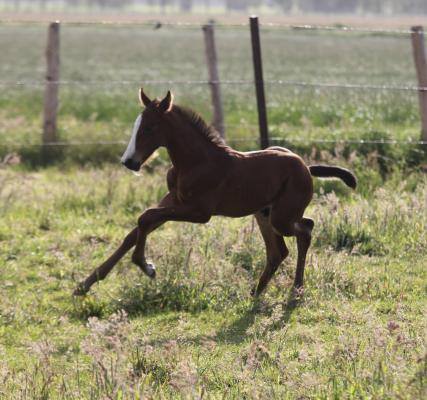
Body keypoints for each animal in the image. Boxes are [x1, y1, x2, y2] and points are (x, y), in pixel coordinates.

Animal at [74, 90, 358, 296]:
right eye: (136, 126)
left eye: (150, 128)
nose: (129, 162)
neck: (195, 162)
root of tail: (306, 167)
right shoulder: (173, 201)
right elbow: (136, 230)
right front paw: (86, 284)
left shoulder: (200, 212)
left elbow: (145, 217)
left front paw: (147, 267)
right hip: (264, 214)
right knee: (279, 251)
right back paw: (257, 291)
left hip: (281, 217)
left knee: (306, 229)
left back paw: (296, 288)